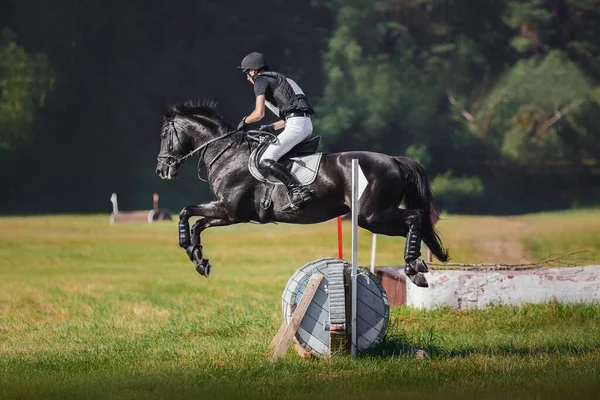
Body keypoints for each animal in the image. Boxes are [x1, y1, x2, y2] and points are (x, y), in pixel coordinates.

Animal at [157, 100, 448, 288]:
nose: (162, 170)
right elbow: (196, 222)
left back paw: (413, 266)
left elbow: (186, 212)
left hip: (370, 216)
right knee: (414, 223)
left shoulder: (229, 210)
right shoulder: (229, 213)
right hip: (373, 217)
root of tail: (395, 160)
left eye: (163, 135)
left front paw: (188, 248)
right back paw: (416, 265)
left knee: (414, 218)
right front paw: (198, 258)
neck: (227, 153)